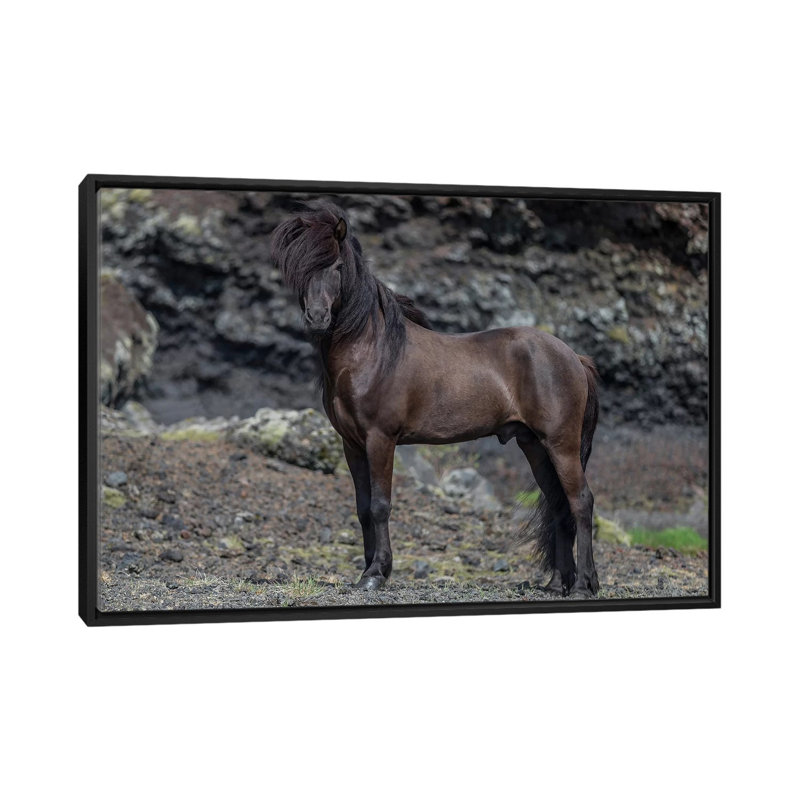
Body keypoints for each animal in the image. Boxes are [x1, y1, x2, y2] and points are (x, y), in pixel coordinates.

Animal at [271, 201, 600, 598]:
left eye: (336, 266)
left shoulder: (380, 439)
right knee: (558, 505)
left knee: (581, 502)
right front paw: (365, 570)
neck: (372, 352)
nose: (317, 318)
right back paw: (557, 583)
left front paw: (376, 574)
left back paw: (583, 585)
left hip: (561, 443)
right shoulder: (352, 444)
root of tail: (573, 357)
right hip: (535, 445)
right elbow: (363, 508)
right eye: (300, 269)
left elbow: (380, 505)